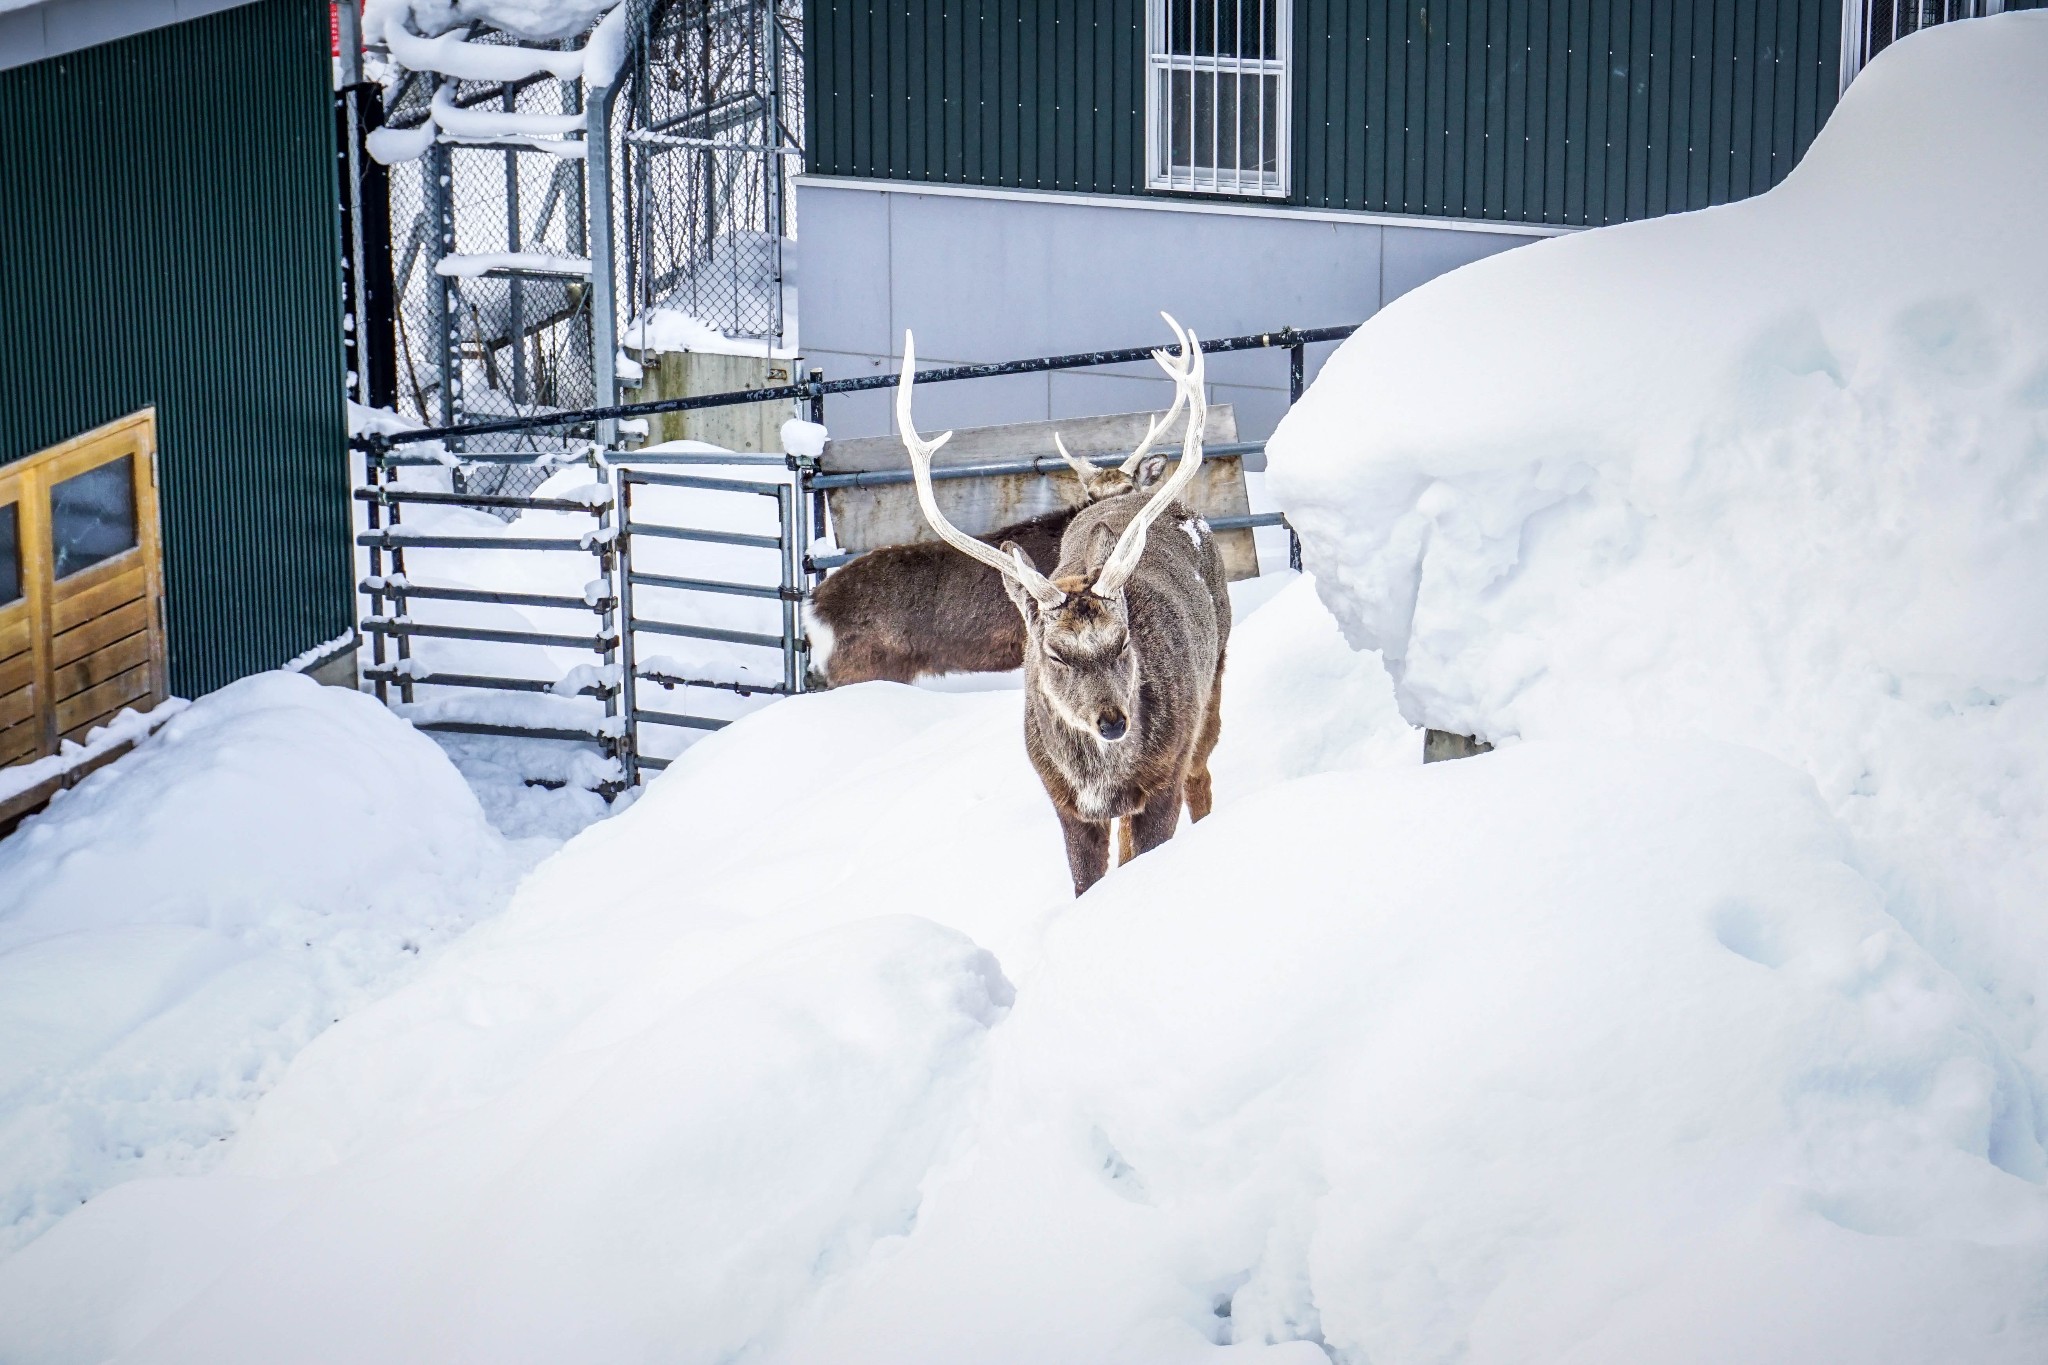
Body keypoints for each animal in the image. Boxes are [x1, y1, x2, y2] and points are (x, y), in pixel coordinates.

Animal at [901, 319, 1228, 896]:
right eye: (1054, 653)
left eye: (1123, 640)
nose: (1113, 722)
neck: (1100, 777)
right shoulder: (1064, 801)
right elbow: (1087, 882)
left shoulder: (1163, 776)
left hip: (1214, 680)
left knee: (1202, 777)